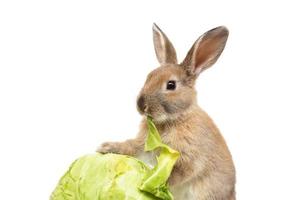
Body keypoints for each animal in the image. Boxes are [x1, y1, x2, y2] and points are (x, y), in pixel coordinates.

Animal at [97, 23, 236, 200]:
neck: (173, 119)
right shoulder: (146, 145)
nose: (141, 104)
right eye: (149, 76)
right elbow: (133, 147)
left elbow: (178, 173)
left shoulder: (190, 158)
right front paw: (107, 148)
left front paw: (151, 181)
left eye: (171, 85)